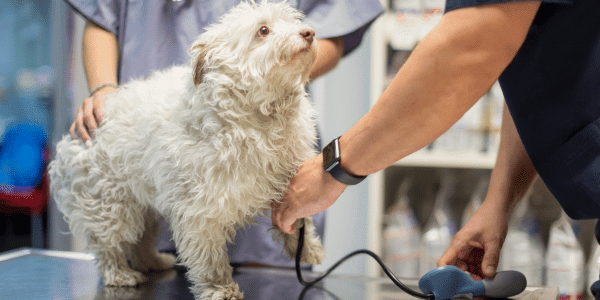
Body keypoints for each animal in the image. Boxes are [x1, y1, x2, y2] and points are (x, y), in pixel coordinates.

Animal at [49, 1, 326, 298]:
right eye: (263, 30)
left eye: (294, 21)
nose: (309, 33)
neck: (261, 118)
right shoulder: (201, 208)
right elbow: (209, 256)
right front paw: (220, 287)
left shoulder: (288, 180)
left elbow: (300, 218)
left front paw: (307, 247)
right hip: (109, 204)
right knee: (108, 244)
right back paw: (120, 273)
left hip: (145, 202)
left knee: (142, 240)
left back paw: (154, 261)